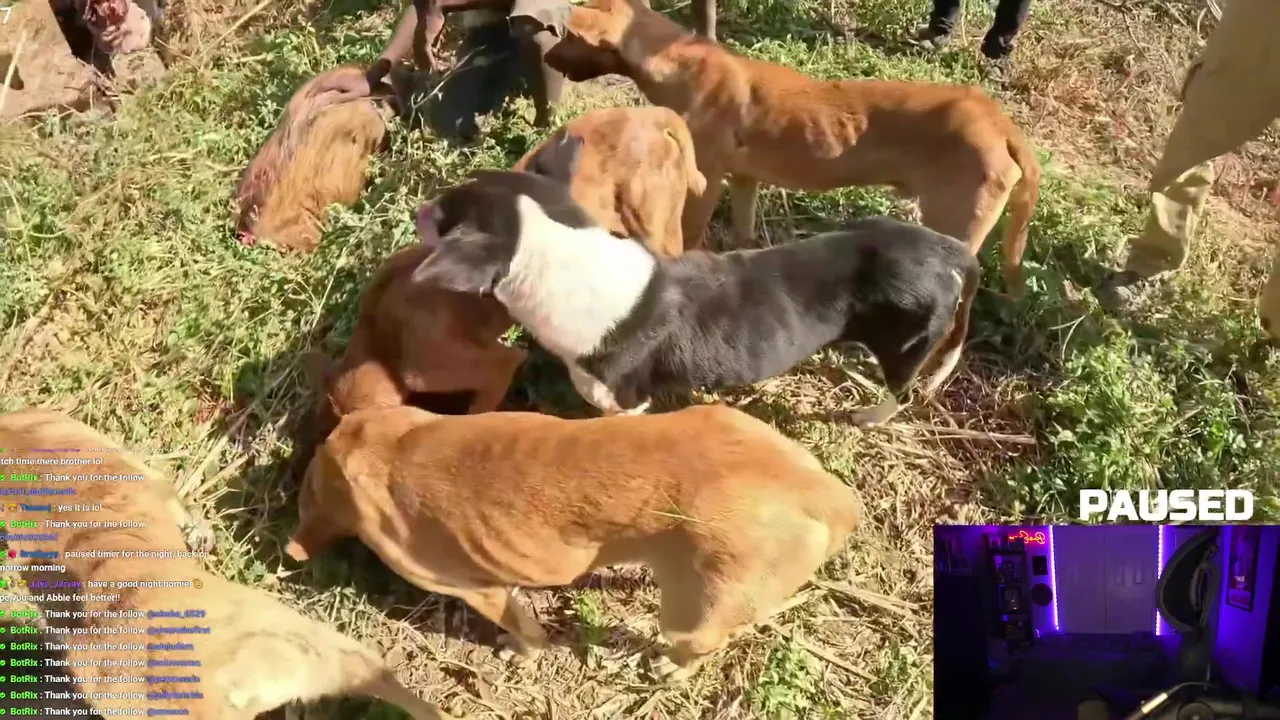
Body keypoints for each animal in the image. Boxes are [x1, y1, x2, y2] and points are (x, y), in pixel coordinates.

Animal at [285, 403, 860, 681]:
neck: (390, 450)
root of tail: (823, 491)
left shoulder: (479, 588)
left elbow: (522, 627)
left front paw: (522, 652)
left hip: (695, 604)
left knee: (701, 643)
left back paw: (669, 669)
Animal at [408, 171, 980, 425]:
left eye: (444, 217)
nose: (417, 207)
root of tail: (947, 250)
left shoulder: (624, 401)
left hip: (907, 344)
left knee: (902, 390)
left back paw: (869, 417)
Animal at [543, 0, 1040, 294]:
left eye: (570, 37)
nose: (545, 56)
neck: (679, 62)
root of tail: (1000, 121)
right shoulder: (745, 178)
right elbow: (742, 234)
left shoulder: (706, 180)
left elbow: (688, 235)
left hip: (953, 227)